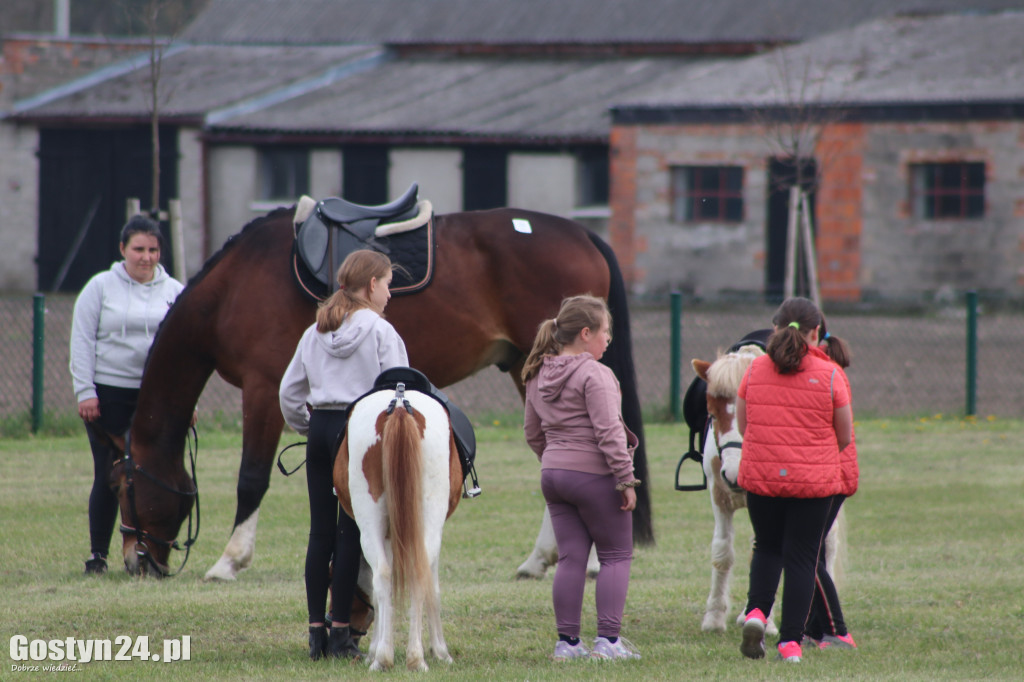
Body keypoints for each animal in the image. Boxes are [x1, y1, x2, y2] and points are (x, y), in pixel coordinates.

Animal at [112, 201, 651, 573]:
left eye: (125, 485)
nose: (135, 559)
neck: (234, 287)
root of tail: (581, 232)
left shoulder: (264, 390)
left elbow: (251, 478)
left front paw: (229, 561)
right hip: (526, 365)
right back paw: (544, 560)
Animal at [331, 382, 460, 667]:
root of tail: (400, 405)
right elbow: (431, 587)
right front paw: (441, 651)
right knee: (409, 574)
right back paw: (409, 657)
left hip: (373, 523)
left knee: (383, 574)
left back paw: (388, 658)